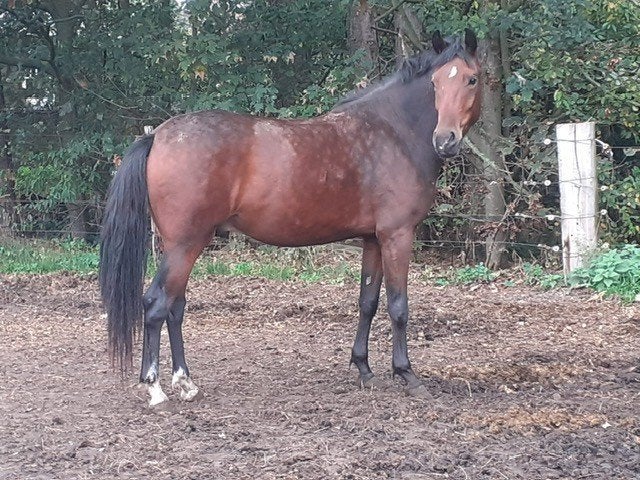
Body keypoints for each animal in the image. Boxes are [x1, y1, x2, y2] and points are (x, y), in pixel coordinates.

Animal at [99, 29, 482, 407]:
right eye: (435, 83)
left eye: (471, 79)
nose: (445, 140)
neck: (394, 132)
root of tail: (157, 135)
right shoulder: (397, 235)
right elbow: (398, 306)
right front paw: (407, 375)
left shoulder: (374, 239)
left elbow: (368, 303)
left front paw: (364, 369)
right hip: (185, 244)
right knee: (155, 304)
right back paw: (155, 389)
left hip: (184, 245)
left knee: (175, 306)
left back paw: (186, 382)